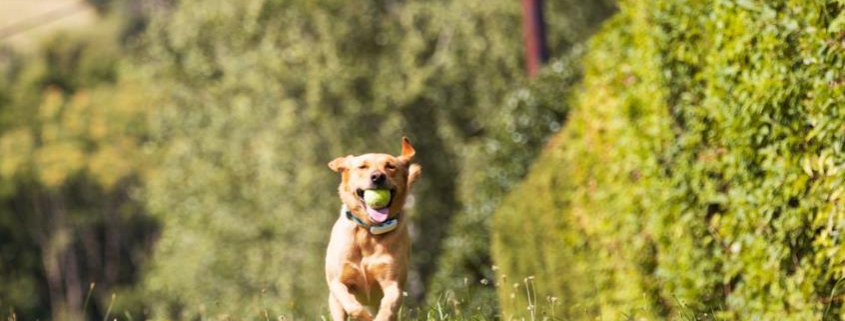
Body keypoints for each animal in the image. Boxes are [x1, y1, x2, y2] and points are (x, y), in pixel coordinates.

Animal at [328, 136, 426, 318]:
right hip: (334, 302)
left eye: (390, 166)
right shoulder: (338, 282)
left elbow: (387, 309)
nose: (377, 177)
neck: (368, 231)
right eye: (362, 166)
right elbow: (353, 306)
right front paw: (363, 317)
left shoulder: (393, 284)